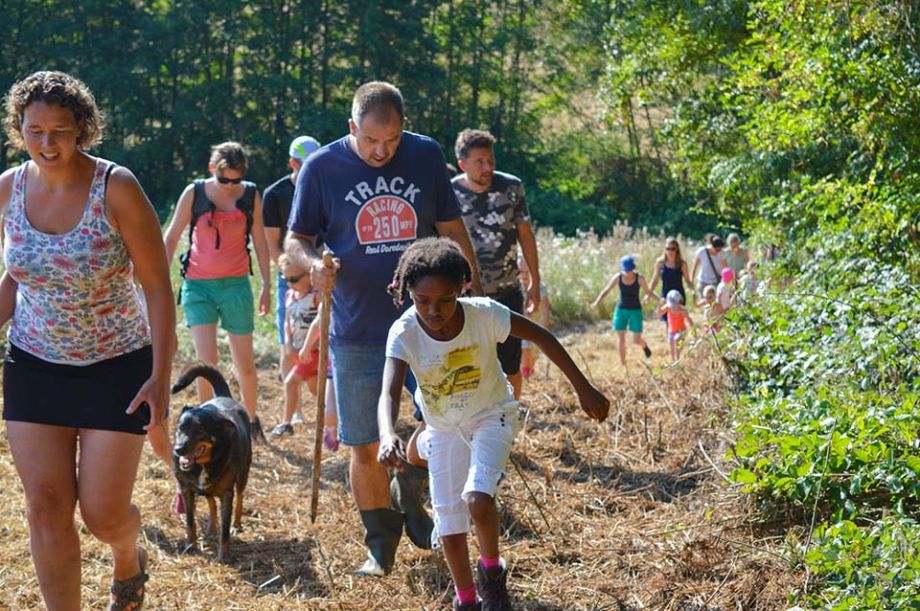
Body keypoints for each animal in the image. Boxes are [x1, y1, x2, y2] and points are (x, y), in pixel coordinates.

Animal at [172, 364, 252, 564]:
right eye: (180, 427)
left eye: (200, 430)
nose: (178, 449)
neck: (202, 464)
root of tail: (223, 396)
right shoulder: (186, 489)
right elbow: (190, 521)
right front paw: (191, 546)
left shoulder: (226, 494)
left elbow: (225, 531)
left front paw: (224, 556)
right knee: (210, 501)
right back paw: (211, 527)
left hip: (243, 474)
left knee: (240, 497)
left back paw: (237, 524)